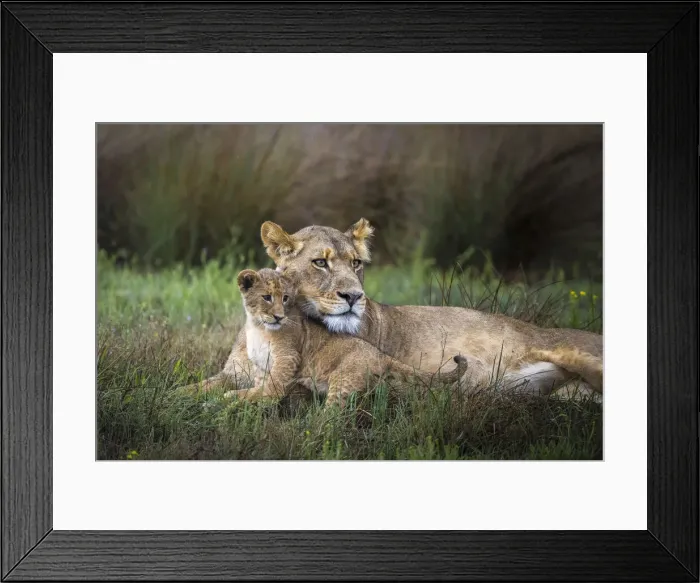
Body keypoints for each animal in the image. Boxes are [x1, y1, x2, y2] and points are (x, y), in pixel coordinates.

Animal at [215, 268, 468, 407]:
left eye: (285, 298)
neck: (258, 327)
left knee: (334, 418)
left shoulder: (288, 359)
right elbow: (260, 388)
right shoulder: (261, 367)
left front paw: (231, 397)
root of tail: (378, 353)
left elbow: (270, 391)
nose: (279, 316)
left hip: (342, 381)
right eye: (267, 297)